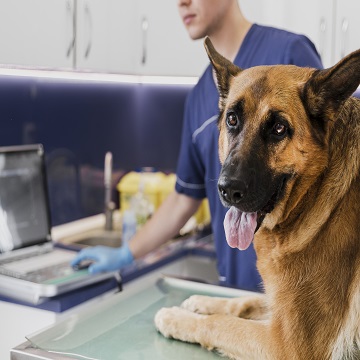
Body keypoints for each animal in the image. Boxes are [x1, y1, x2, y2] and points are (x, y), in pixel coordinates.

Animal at [154, 37, 360, 360]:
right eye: (232, 119)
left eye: (278, 128)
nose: (228, 190)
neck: (315, 194)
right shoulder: (280, 308)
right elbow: (248, 300)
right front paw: (203, 302)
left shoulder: (287, 344)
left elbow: (220, 324)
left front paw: (177, 317)